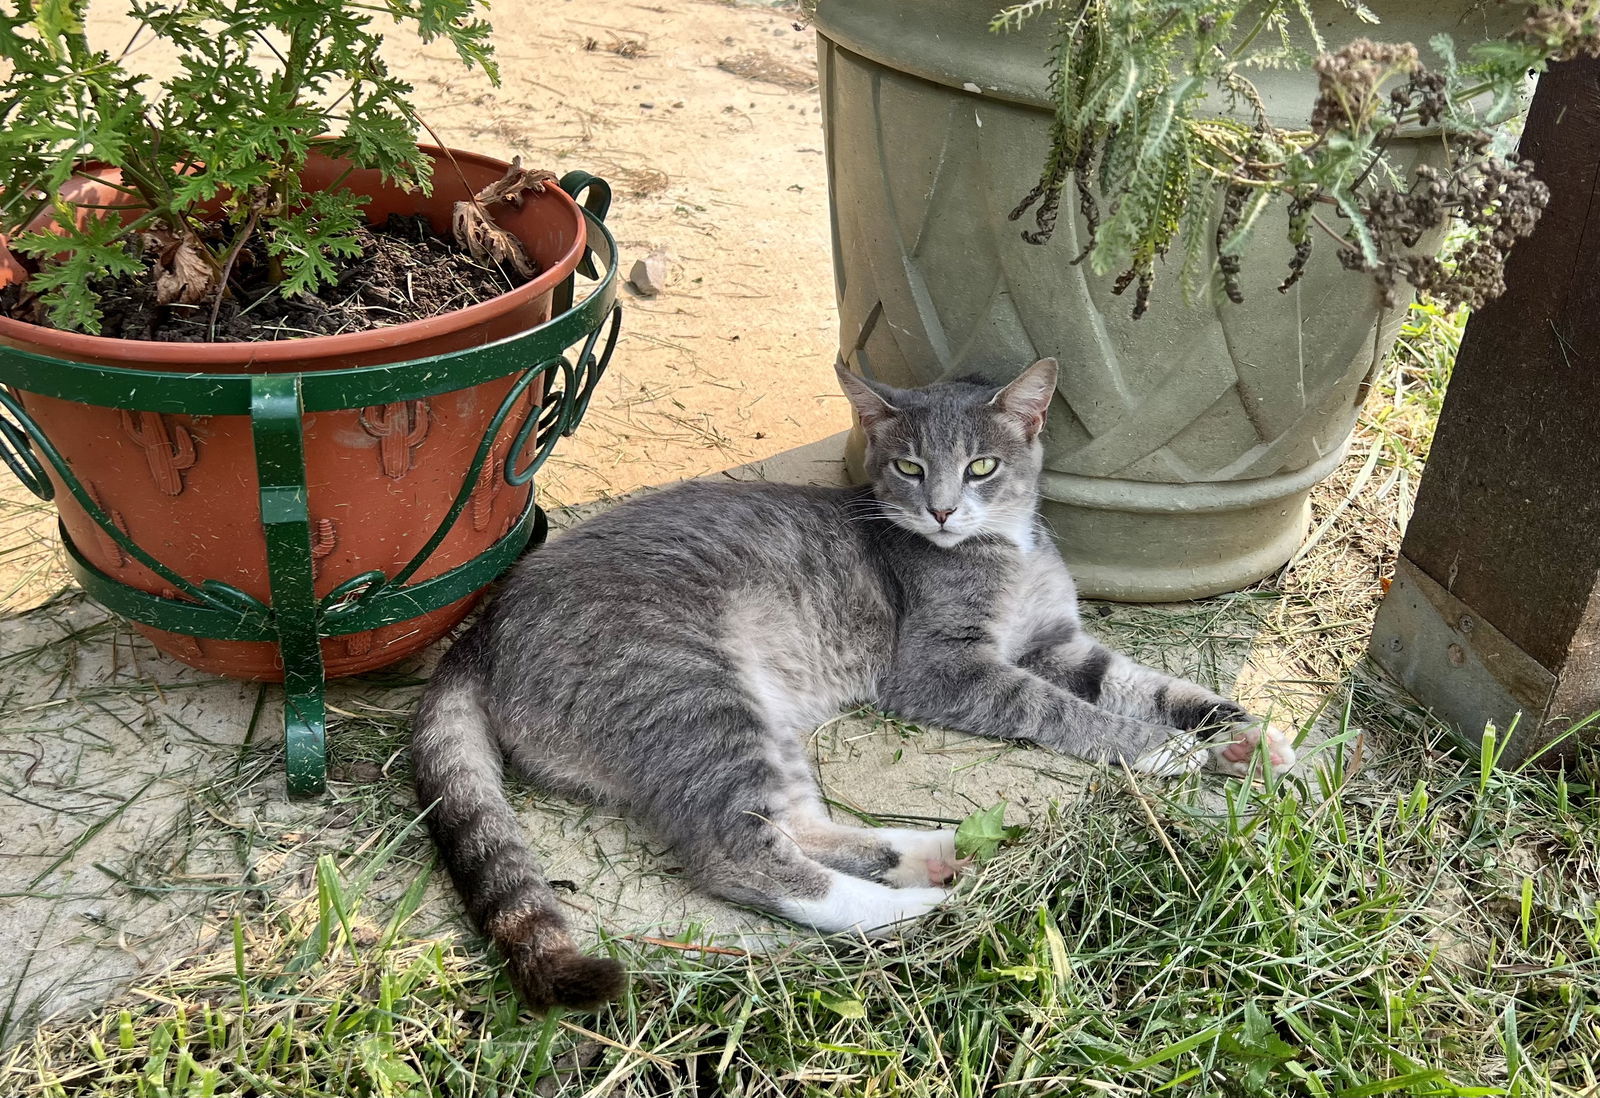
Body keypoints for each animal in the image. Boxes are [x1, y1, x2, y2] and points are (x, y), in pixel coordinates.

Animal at [406, 361, 1292, 1017]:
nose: (942, 511)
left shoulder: (1060, 642)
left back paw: (924, 856)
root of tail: (483, 629)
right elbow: (1065, 711)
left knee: (794, 822)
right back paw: (915, 915)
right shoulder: (946, 671)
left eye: (981, 466)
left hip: (758, 716)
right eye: (908, 467)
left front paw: (1241, 734)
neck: (1004, 550)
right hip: (695, 693)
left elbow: (1148, 684)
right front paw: (1162, 751)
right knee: (740, 854)